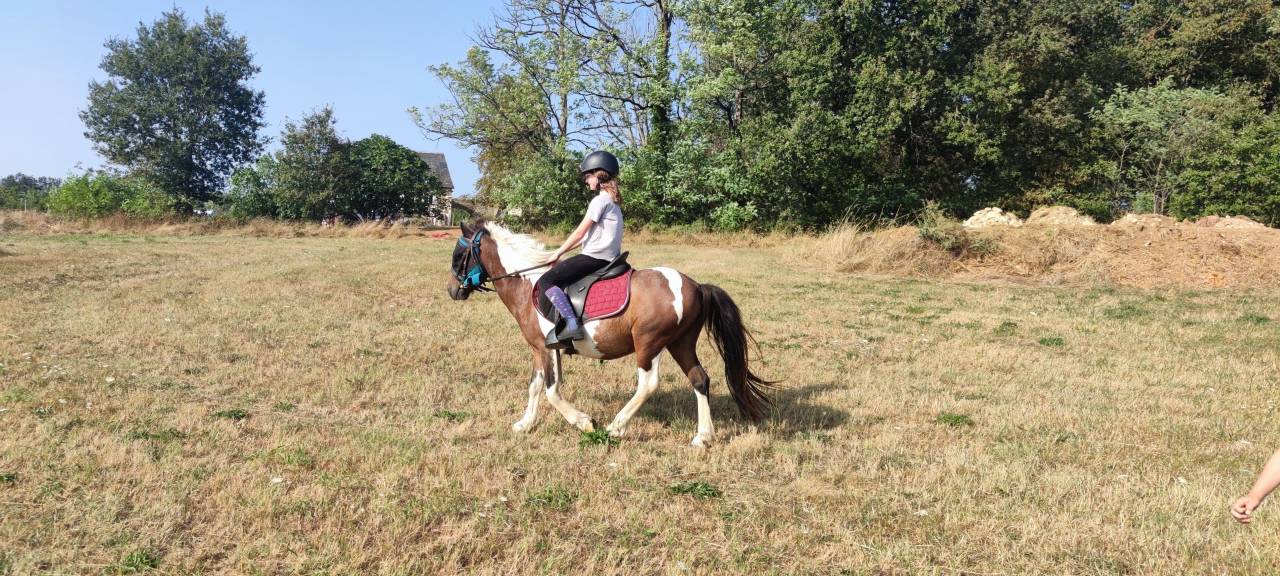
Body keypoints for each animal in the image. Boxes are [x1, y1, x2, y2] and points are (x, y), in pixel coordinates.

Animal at [445, 219, 774, 446]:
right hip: (680, 344)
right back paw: (703, 437)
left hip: (648, 344)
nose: (452, 291)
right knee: (699, 379)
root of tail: (696, 286)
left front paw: (584, 422)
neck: (528, 284)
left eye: (459, 254)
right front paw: (525, 424)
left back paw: (616, 427)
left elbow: (551, 390)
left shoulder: (545, 348)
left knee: (648, 384)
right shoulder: (543, 349)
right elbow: (536, 386)